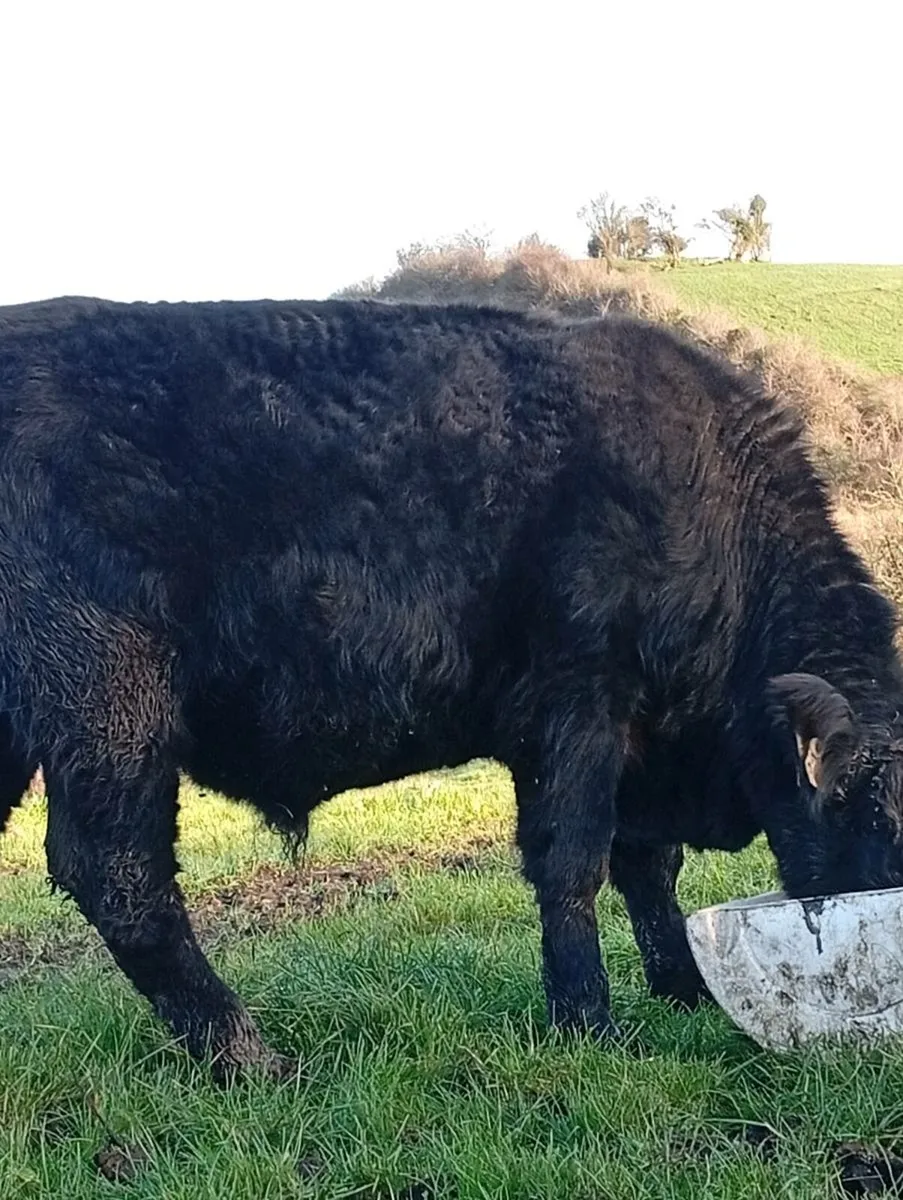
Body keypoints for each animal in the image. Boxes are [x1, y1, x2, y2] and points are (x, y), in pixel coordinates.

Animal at [1, 295, 903, 1079]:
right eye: (881, 816)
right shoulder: (576, 709)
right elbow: (572, 864)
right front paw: (589, 1026)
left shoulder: (636, 743)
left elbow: (648, 868)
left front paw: (681, 989)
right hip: (112, 708)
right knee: (118, 873)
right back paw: (250, 1058)